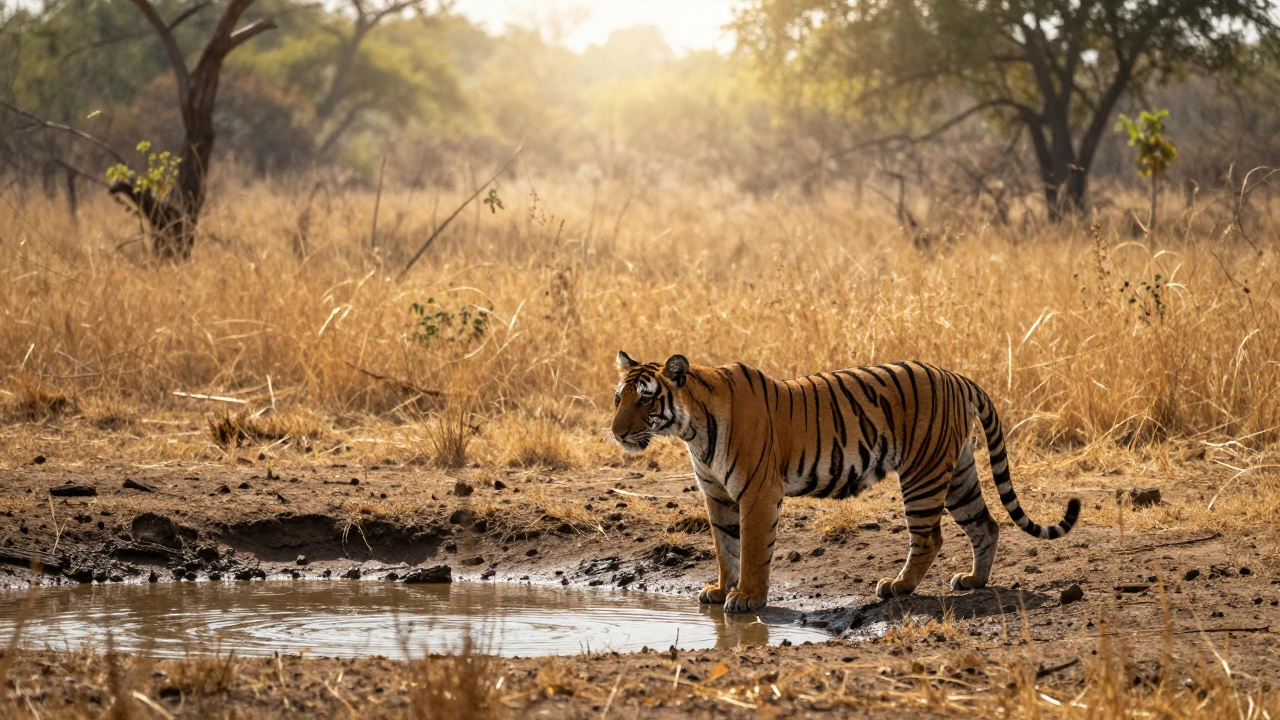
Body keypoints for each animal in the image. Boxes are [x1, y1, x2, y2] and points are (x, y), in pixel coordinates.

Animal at [610, 351, 1080, 613]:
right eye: (619, 397)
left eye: (647, 399)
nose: (615, 432)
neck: (693, 430)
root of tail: (956, 376)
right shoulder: (718, 496)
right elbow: (726, 548)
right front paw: (722, 588)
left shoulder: (757, 493)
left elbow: (753, 549)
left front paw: (746, 599)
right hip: (958, 473)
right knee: (986, 525)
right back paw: (973, 581)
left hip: (923, 474)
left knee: (930, 537)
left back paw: (898, 586)